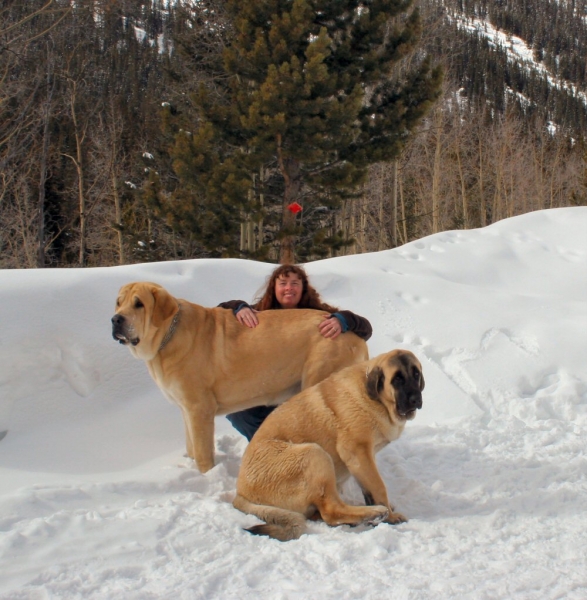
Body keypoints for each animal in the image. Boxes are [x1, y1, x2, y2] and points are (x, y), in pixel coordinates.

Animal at [111, 282, 368, 474]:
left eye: (139, 304)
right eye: (118, 302)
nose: (116, 320)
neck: (168, 336)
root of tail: (357, 339)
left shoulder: (198, 409)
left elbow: (202, 453)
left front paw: (205, 475)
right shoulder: (185, 409)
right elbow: (191, 446)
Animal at [232, 350, 424, 540]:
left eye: (416, 374)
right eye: (397, 379)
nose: (416, 399)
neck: (377, 400)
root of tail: (241, 493)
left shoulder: (363, 461)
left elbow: (369, 489)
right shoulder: (358, 452)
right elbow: (378, 487)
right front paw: (390, 517)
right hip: (314, 454)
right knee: (331, 511)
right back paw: (375, 513)